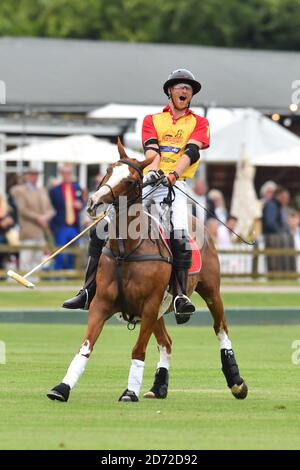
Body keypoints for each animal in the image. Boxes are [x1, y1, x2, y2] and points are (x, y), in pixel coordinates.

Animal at [47, 141, 248, 402]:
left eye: (130, 181)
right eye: (108, 171)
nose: (93, 203)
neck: (126, 249)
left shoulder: (149, 305)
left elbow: (138, 350)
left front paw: (130, 392)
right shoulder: (101, 303)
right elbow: (85, 347)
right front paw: (62, 388)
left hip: (210, 290)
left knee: (220, 328)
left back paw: (236, 382)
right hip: (161, 309)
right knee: (167, 343)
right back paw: (158, 386)